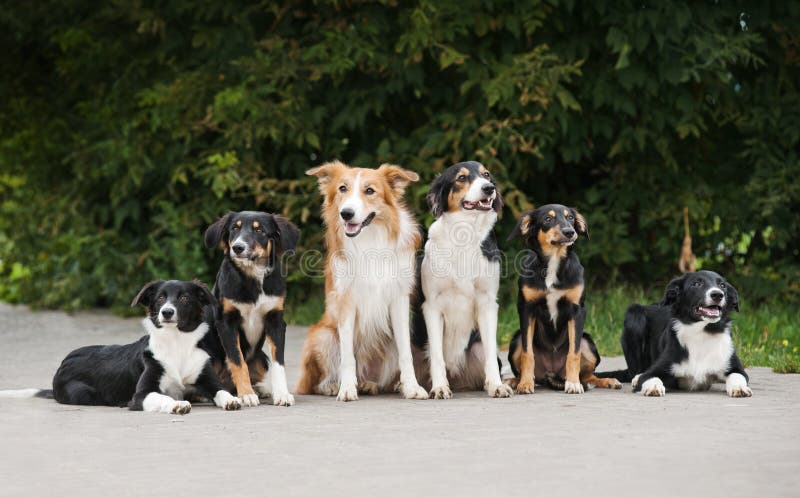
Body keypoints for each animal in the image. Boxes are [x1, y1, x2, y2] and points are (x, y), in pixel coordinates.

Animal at [296, 161, 432, 402]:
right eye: (342, 188)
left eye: (370, 191)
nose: (346, 214)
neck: (370, 240)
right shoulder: (346, 302)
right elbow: (347, 356)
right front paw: (346, 389)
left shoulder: (399, 299)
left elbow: (406, 353)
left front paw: (412, 387)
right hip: (323, 335)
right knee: (319, 381)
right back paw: (334, 386)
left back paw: (369, 384)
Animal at [416, 161, 516, 398]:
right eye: (461, 178)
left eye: (486, 175)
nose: (489, 188)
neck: (465, 234)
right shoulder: (432, 306)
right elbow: (436, 355)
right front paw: (440, 388)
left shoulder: (487, 303)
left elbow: (490, 353)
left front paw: (497, 385)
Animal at [506, 204, 620, 394]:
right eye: (548, 219)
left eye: (570, 218)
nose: (569, 232)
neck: (553, 261)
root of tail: (551, 374)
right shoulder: (526, 309)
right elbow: (527, 353)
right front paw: (525, 383)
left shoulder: (577, 310)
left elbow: (573, 353)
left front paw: (573, 384)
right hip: (516, 339)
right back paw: (514, 381)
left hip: (588, 342)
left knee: (588, 376)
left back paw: (606, 381)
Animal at [596, 268, 752, 396]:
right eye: (697, 284)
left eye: (722, 285)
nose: (718, 295)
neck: (701, 333)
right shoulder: (656, 370)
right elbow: (650, 377)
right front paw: (653, 387)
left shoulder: (735, 367)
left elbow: (737, 376)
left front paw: (740, 388)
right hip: (634, 315)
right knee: (634, 372)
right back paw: (636, 377)